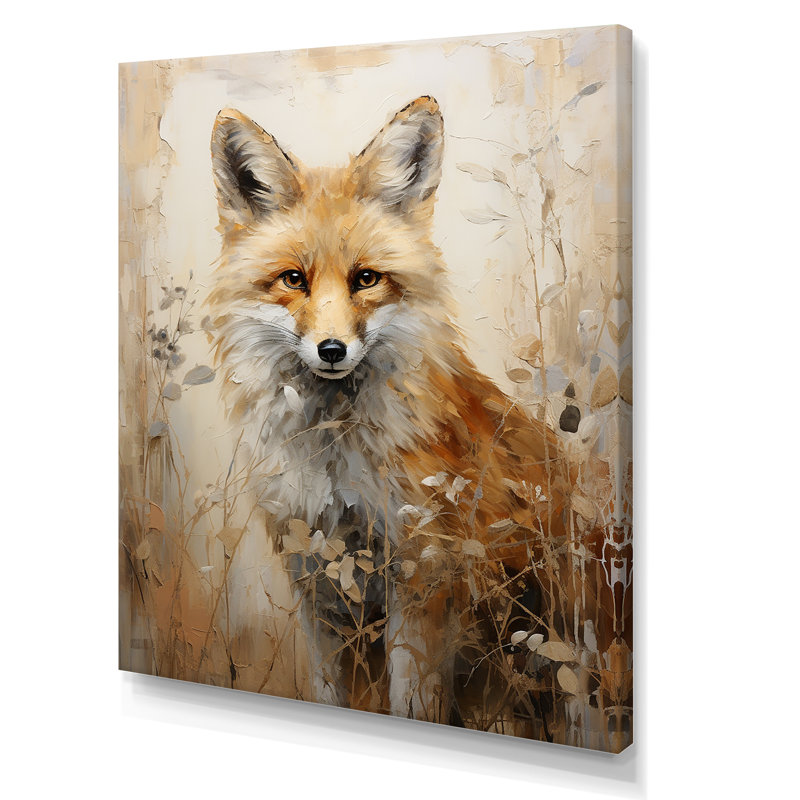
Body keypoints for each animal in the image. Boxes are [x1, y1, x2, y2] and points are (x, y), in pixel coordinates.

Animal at [208, 97, 610, 728]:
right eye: (293, 279)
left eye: (366, 279)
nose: (331, 350)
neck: (335, 459)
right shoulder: (316, 581)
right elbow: (328, 692)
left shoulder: (422, 576)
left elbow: (412, 702)